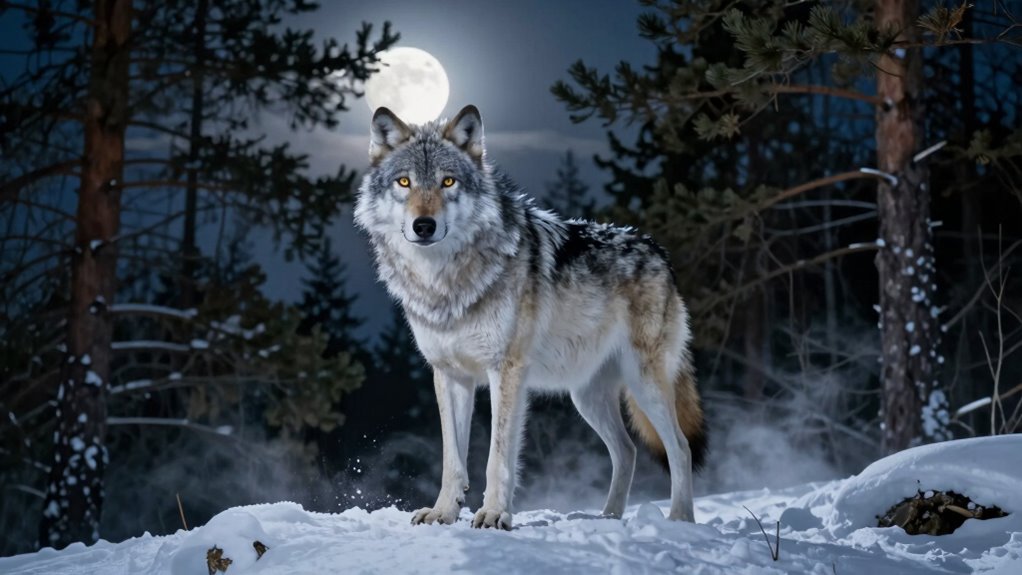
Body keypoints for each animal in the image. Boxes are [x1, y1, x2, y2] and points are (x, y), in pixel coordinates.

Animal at [354, 105, 706, 530]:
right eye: (404, 182)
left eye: (448, 181)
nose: (424, 225)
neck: (445, 283)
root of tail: (658, 251)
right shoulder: (450, 374)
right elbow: (452, 459)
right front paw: (443, 512)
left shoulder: (506, 370)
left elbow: (498, 456)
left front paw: (493, 514)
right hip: (586, 397)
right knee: (626, 451)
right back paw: (607, 517)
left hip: (644, 383)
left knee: (680, 447)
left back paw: (679, 518)